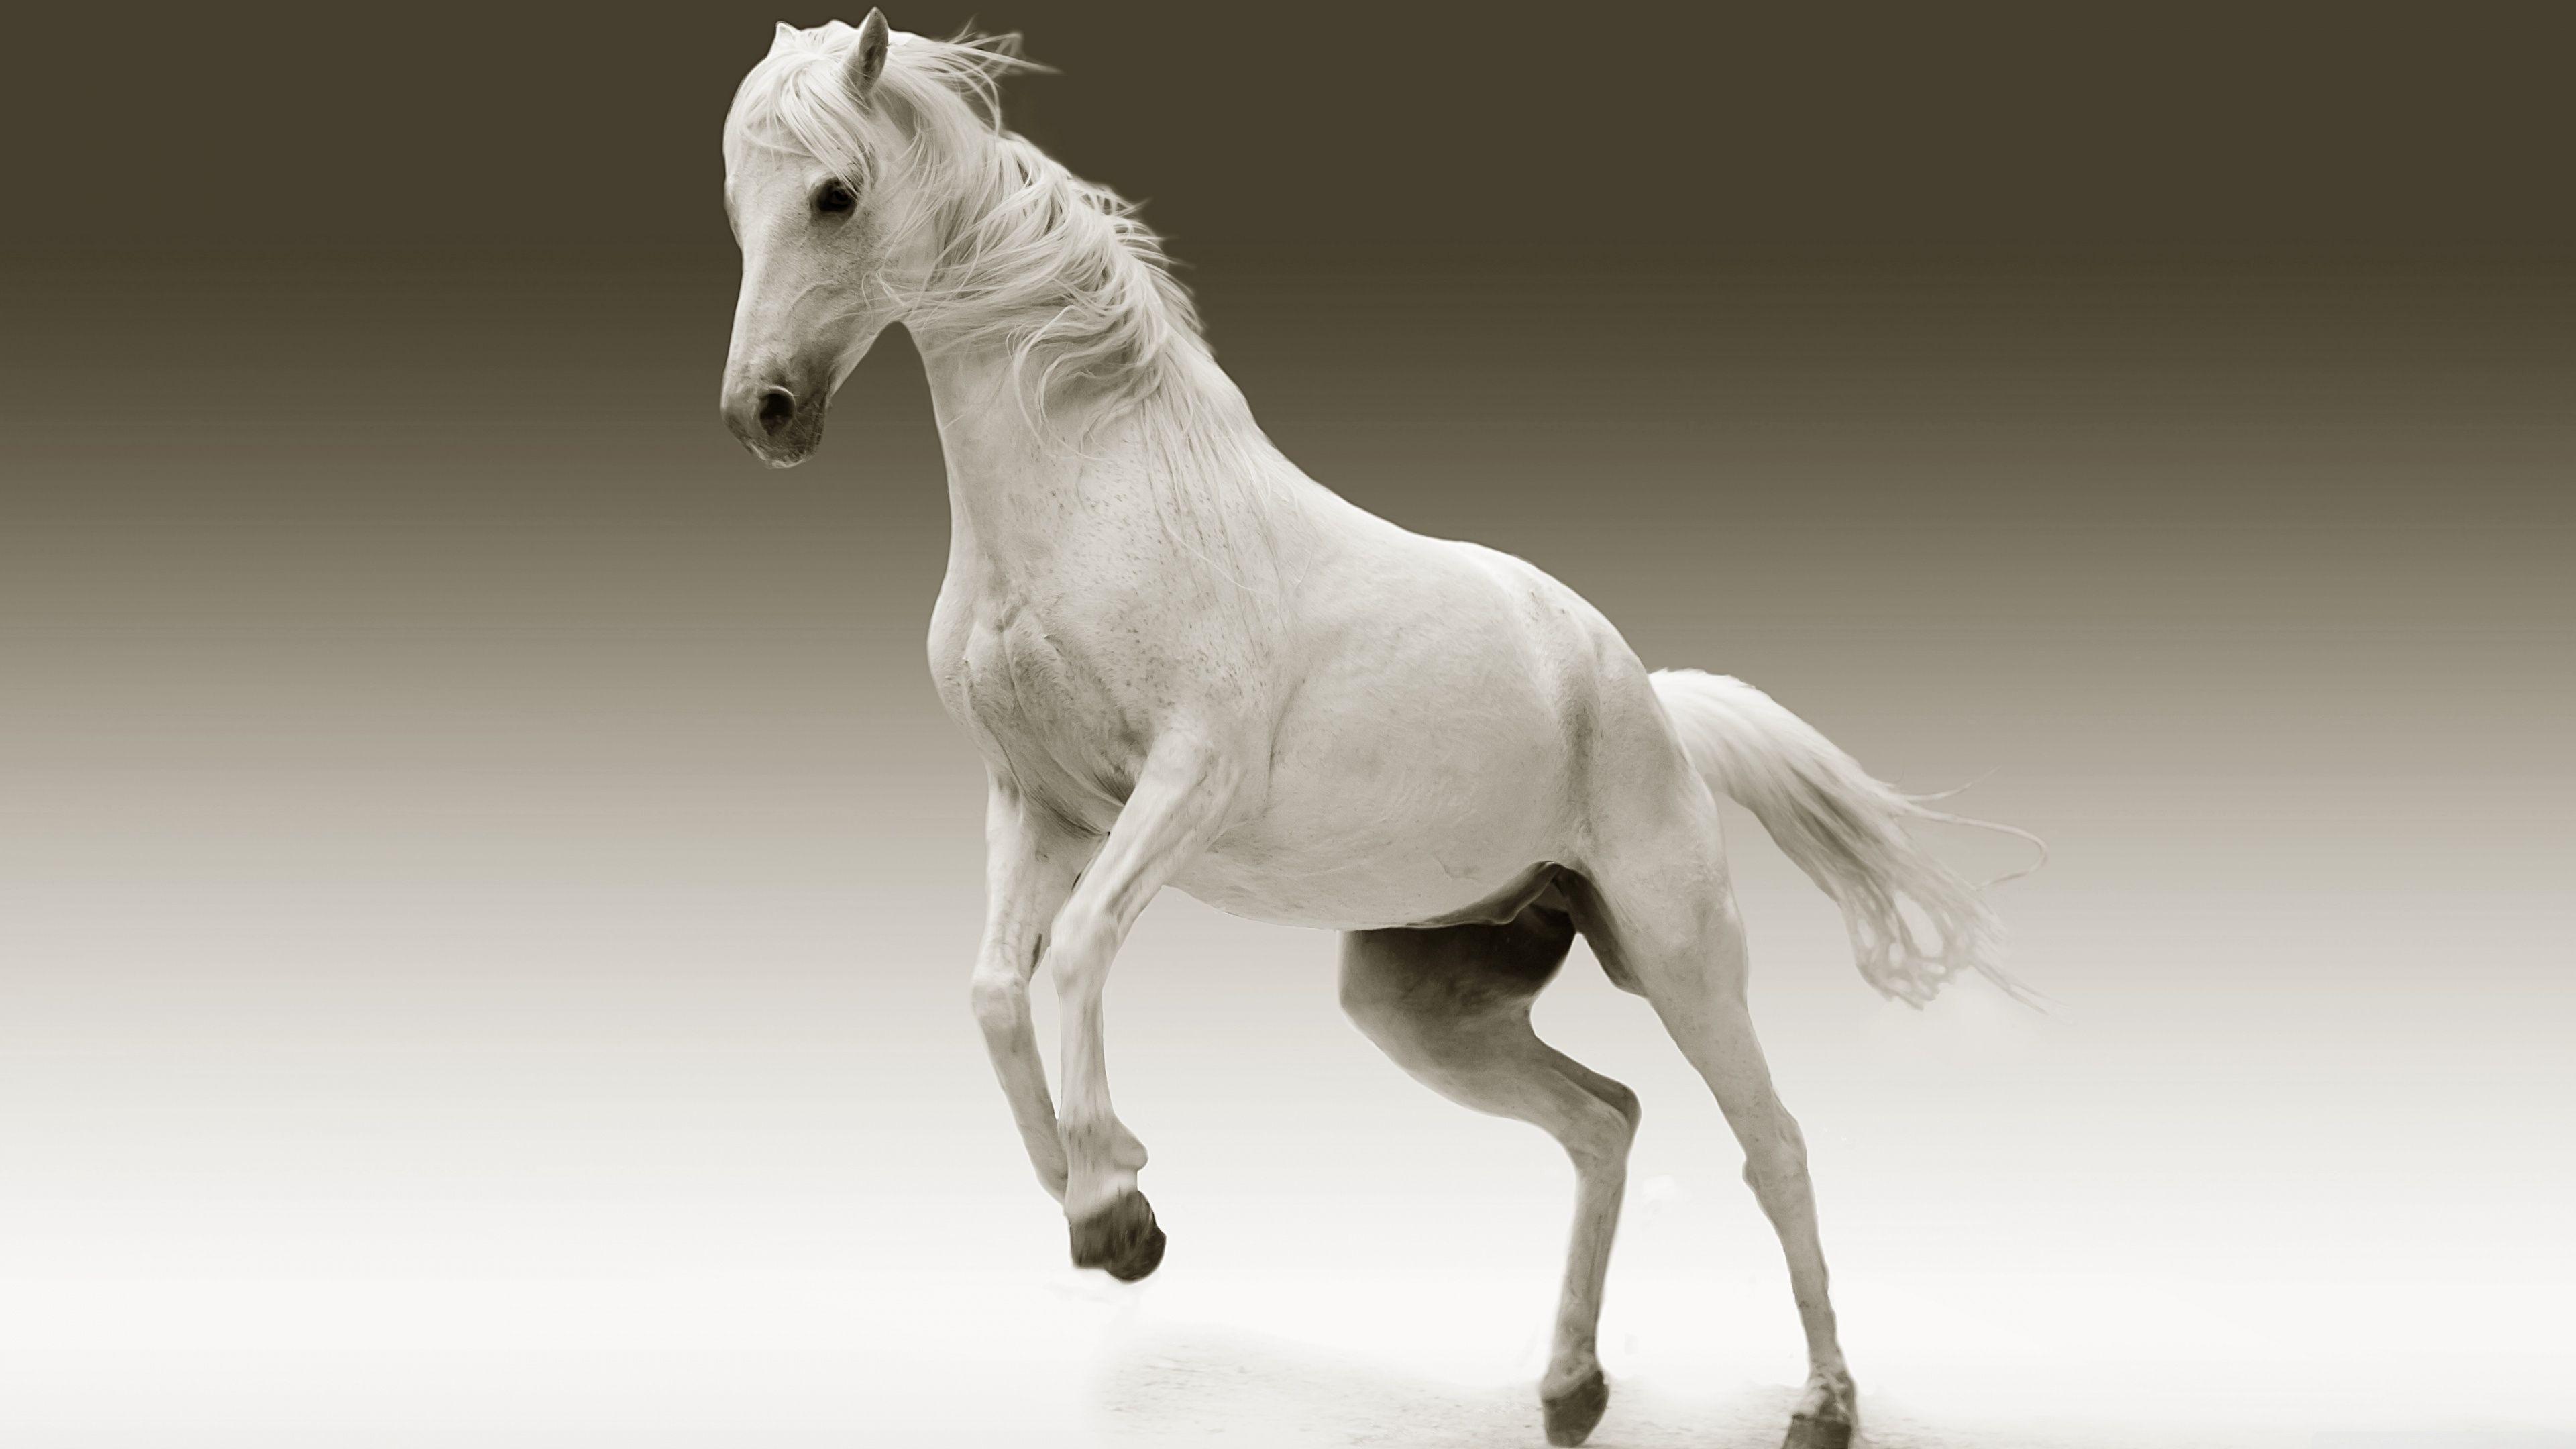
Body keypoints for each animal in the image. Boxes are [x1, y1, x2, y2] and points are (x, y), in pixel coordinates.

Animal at [716, 17, 2039, 1448]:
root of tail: (1646, 696)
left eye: (835, 195)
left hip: (1681, 955)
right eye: (737, 203)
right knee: (1605, 1121)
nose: (762, 412)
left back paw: (1824, 1401)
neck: (1098, 496)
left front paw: (1115, 1208)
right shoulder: (1040, 806)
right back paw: (1570, 1383)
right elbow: (993, 990)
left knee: (1773, 1142)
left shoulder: (1182, 786)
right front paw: (1094, 1200)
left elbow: (1071, 959)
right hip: (1423, 1001)